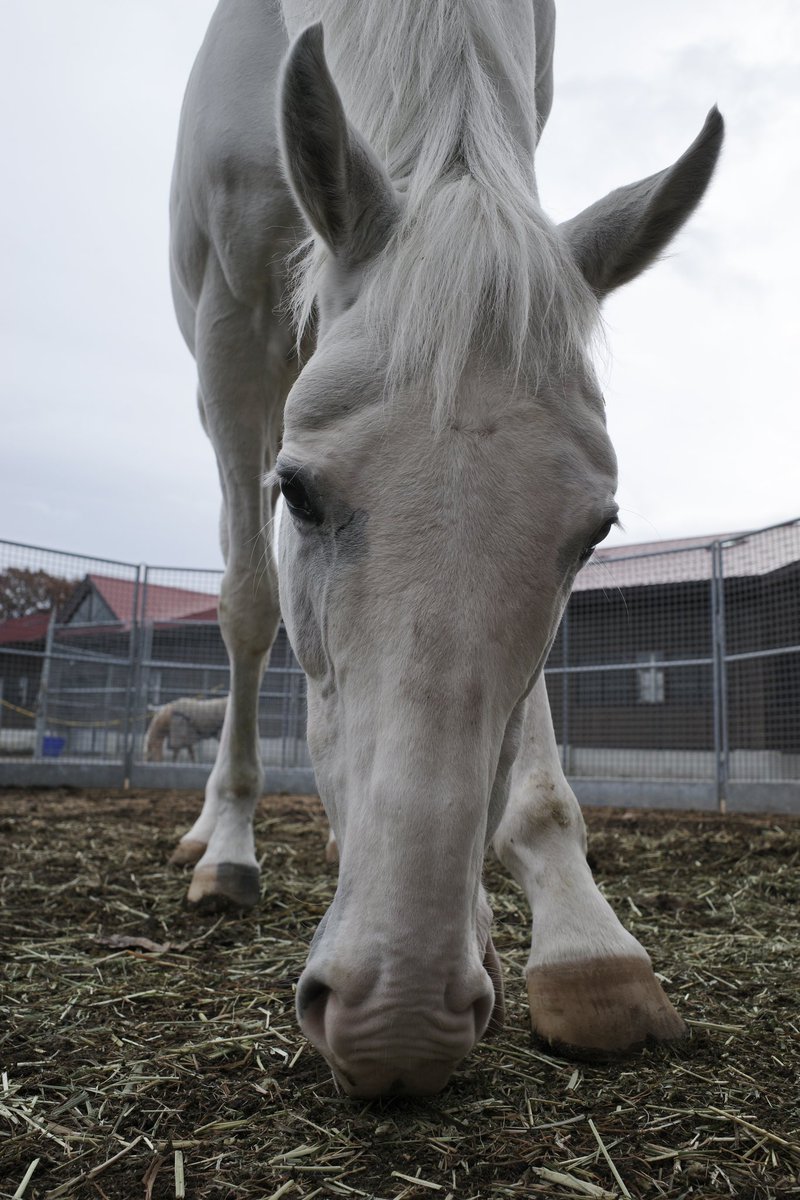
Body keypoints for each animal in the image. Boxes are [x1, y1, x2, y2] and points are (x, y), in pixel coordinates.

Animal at [168, 0, 723, 1097]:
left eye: (594, 532)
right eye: (300, 493)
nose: (401, 1018)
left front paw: (576, 943)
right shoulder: (234, 330)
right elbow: (252, 603)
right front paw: (238, 846)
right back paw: (222, 837)